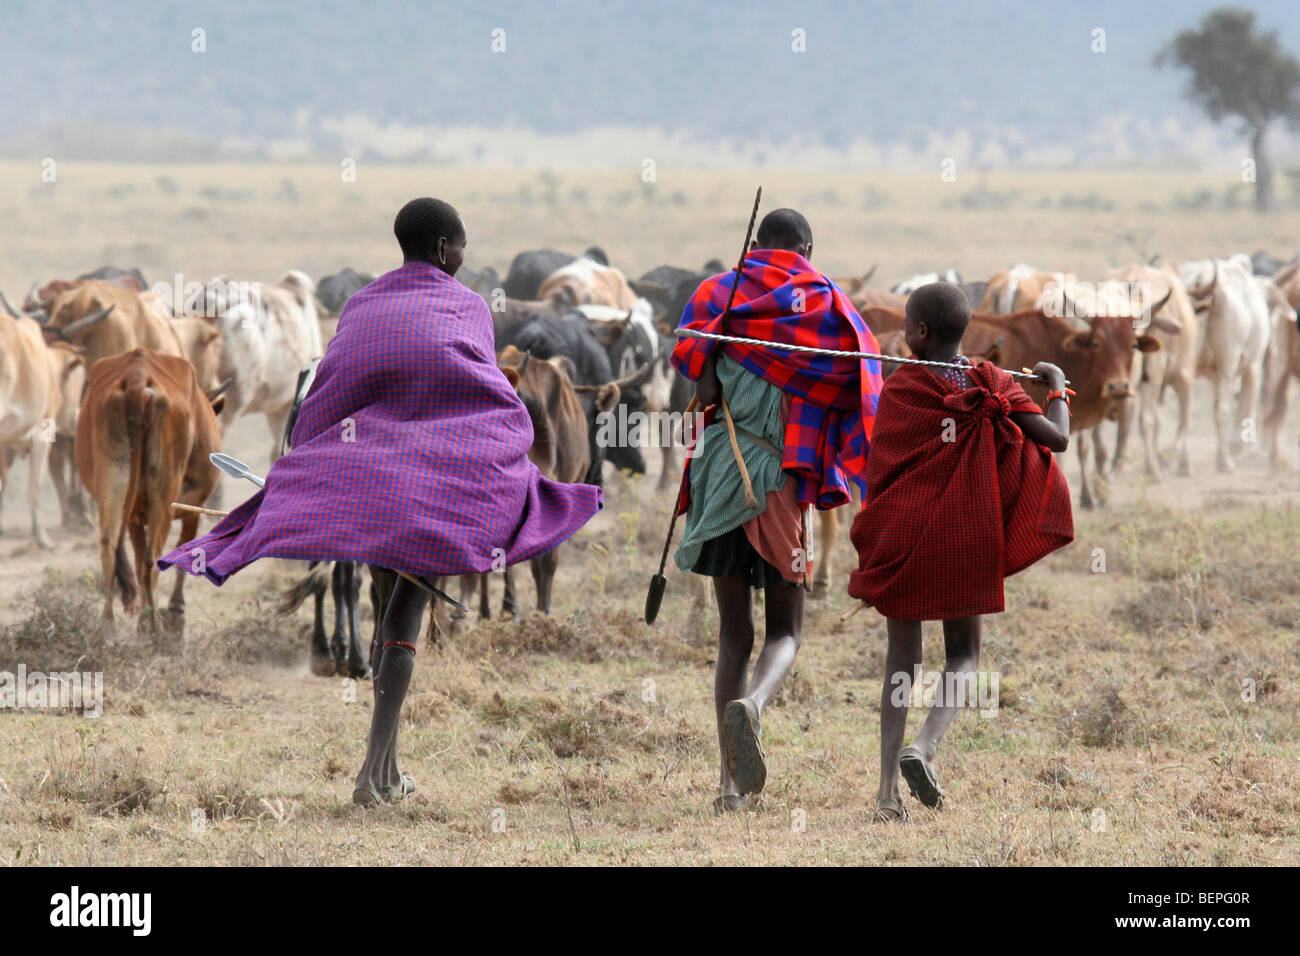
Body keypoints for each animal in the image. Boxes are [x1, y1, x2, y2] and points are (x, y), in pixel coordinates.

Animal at [77, 348, 223, 632]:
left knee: (110, 545)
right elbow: (184, 551)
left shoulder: (134, 516)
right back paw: (154, 629)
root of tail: (138, 378)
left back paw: (108, 625)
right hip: (163, 492)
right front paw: (175, 615)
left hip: (113, 476)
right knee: (152, 556)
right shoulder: (193, 509)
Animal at [1180, 257, 1268, 476]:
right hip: (1227, 367)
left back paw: (1184, 464)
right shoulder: (1253, 365)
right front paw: (1238, 447)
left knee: (1186, 411)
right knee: (1223, 410)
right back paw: (1225, 462)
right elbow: (1247, 403)